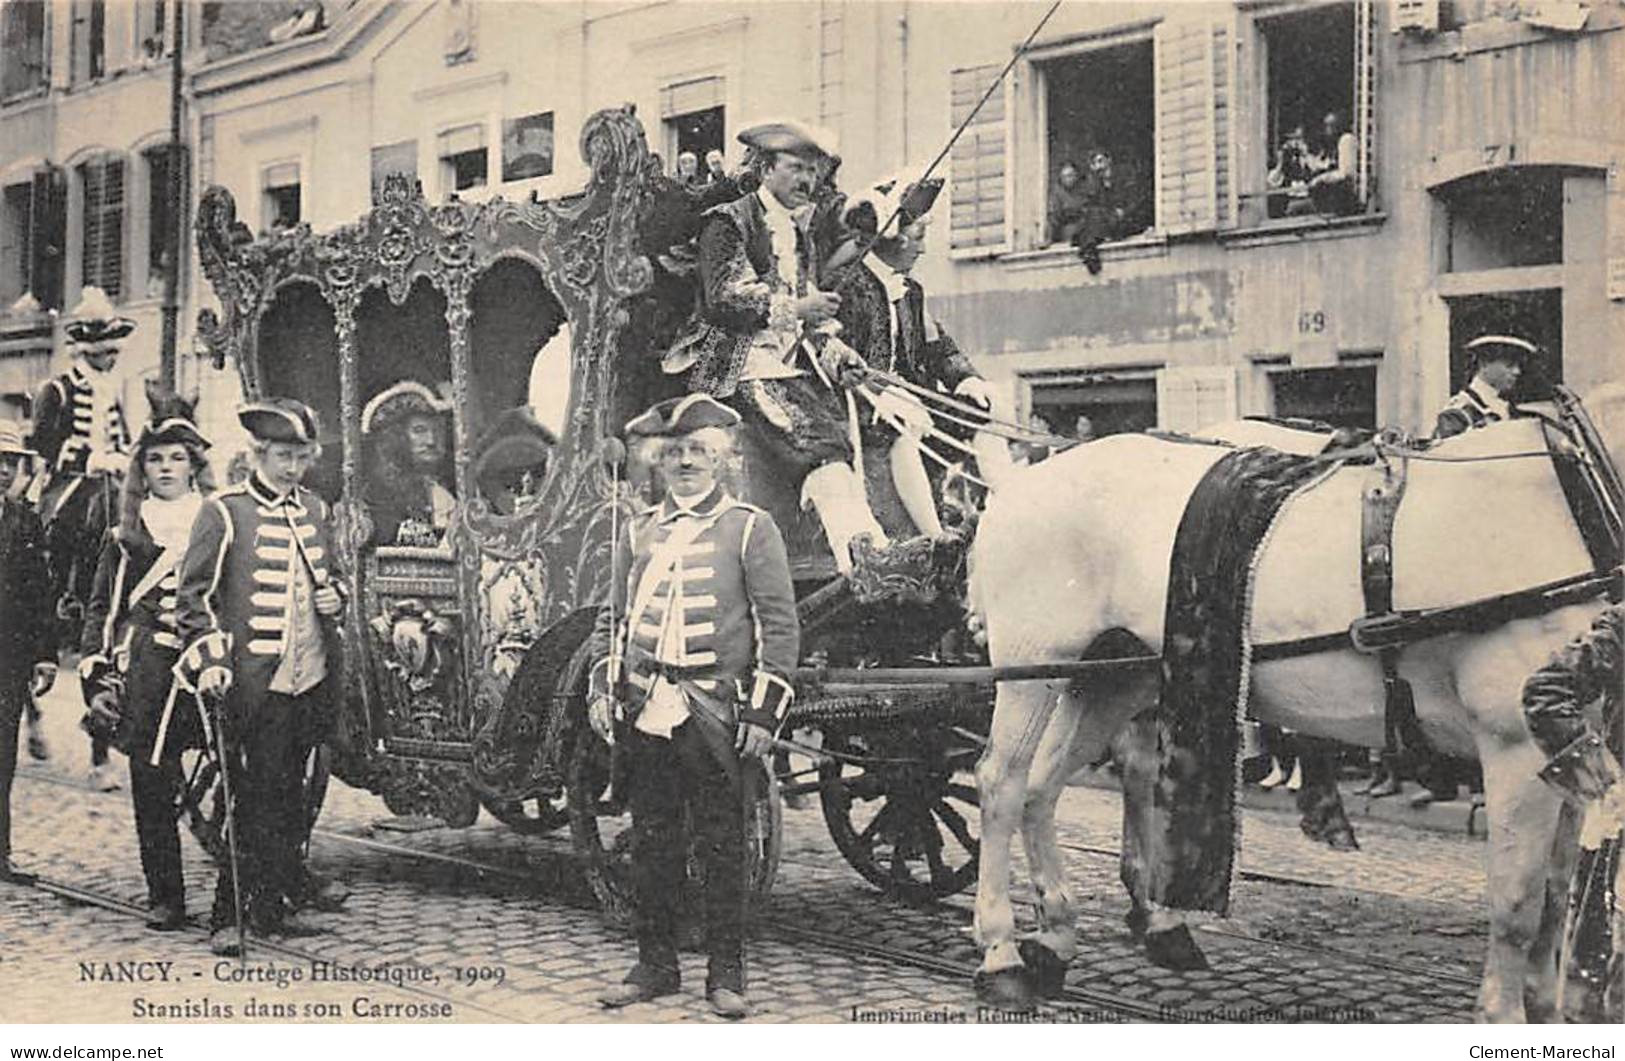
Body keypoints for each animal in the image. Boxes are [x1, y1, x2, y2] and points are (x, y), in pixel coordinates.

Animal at [968, 386, 1618, 1020]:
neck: (1566, 501)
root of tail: (1023, 479)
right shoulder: (1513, 744)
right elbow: (1518, 904)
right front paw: (1504, 1014)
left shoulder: (1565, 745)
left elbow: (1558, 893)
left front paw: (1546, 1009)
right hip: (1033, 666)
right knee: (1001, 784)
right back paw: (1001, 953)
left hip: (1111, 678)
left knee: (1043, 787)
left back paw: (1065, 933)